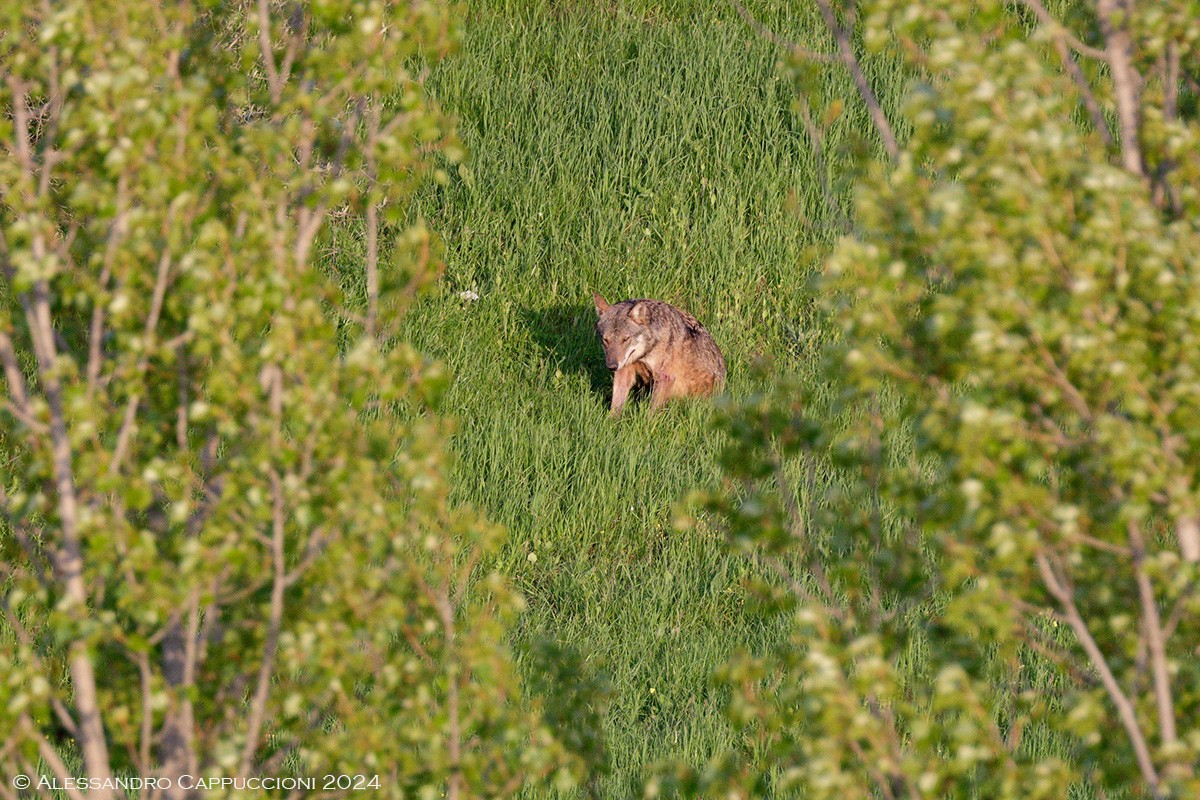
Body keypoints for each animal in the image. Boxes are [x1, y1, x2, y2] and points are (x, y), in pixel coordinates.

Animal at [590, 293, 720, 419]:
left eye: (625, 339)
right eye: (605, 340)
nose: (612, 366)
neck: (646, 351)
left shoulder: (664, 377)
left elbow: (652, 412)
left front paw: (647, 424)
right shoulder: (623, 372)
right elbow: (615, 405)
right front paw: (611, 422)